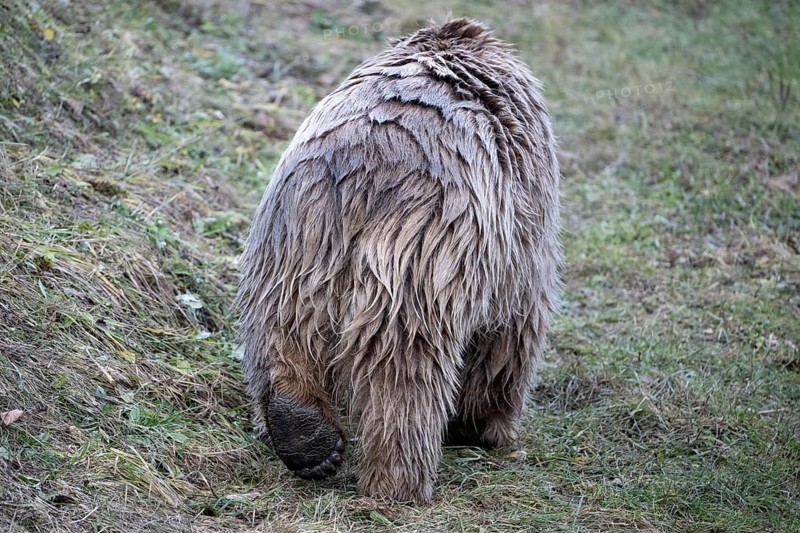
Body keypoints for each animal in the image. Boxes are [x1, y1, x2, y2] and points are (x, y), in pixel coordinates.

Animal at [237, 18, 561, 504]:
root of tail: (364, 162)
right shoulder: (519, 237)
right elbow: (511, 332)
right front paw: (483, 425)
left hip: (295, 236)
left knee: (281, 323)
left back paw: (304, 434)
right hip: (421, 254)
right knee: (403, 370)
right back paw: (397, 482)